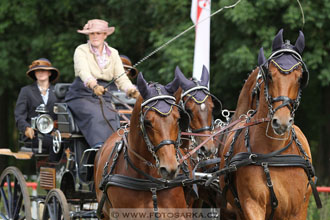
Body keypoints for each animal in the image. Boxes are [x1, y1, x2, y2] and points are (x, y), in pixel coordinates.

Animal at [218, 28, 320, 218]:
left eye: (300, 78)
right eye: (270, 76)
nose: (281, 122)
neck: (274, 154)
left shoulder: (295, 210)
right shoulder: (252, 205)